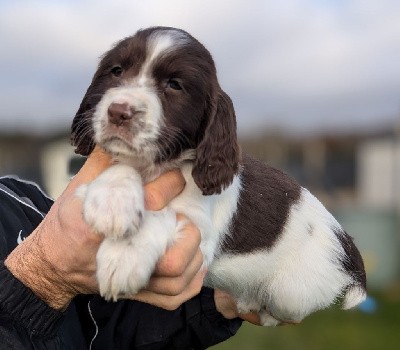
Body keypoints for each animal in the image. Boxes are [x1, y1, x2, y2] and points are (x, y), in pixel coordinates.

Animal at [71, 26, 366, 326]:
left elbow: (164, 215)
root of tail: (345, 240)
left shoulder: (200, 236)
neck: (154, 167)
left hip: (291, 294)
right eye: (116, 71)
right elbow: (120, 169)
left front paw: (123, 256)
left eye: (174, 85)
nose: (118, 112)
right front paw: (112, 204)